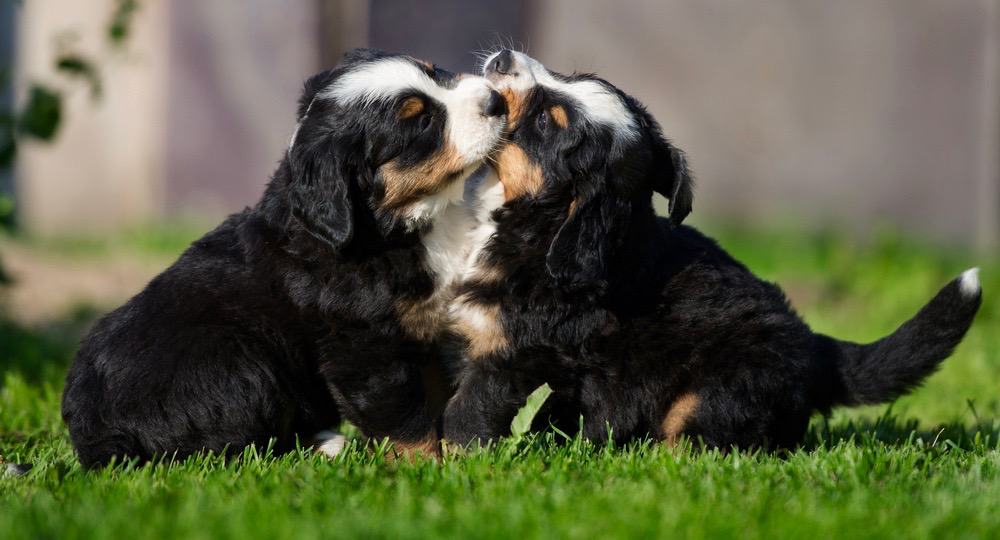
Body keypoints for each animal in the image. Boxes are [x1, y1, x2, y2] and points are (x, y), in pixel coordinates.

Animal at [63, 48, 512, 466]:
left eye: (435, 72)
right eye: (421, 122)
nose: (496, 101)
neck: (395, 221)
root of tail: (92, 437)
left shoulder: (425, 330)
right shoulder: (362, 345)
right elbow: (401, 418)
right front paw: (426, 468)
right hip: (241, 369)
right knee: (225, 451)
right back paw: (326, 445)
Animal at [442, 48, 980, 450]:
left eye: (544, 124)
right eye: (571, 76)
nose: (505, 58)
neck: (539, 222)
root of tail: (815, 344)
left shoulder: (512, 348)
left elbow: (471, 410)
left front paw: (460, 463)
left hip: (718, 390)